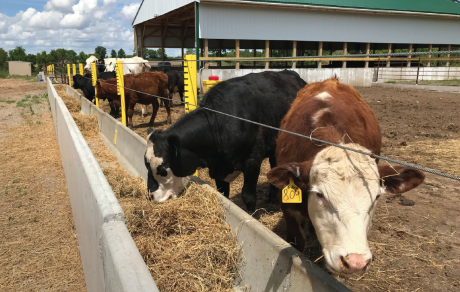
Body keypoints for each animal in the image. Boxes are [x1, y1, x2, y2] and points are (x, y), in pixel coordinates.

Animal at [146, 70, 308, 212]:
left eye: (162, 169)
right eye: (146, 165)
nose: (151, 196)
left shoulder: (252, 162)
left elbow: (248, 196)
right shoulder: (218, 169)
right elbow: (223, 193)